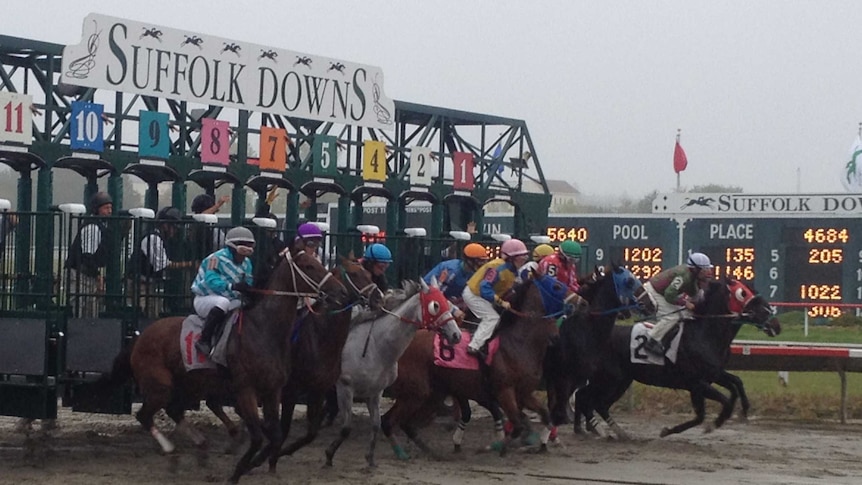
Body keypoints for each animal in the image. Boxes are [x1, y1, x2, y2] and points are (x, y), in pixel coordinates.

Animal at [107, 248, 348, 482]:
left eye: (319, 262)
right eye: (309, 266)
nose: (341, 291)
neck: (263, 329)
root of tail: (140, 337)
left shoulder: (273, 390)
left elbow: (275, 435)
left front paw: (252, 464)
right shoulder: (245, 390)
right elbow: (258, 437)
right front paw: (238, 471)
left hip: (189, 385)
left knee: (174, 410)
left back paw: (199, 447)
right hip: (160, 385)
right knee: (144, 416)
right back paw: (172, 451)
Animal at [324, 278, 462, 466]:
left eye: (447, 303)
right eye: (435, 306)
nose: (456, 335)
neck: (375, 347)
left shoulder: (375, 391)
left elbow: (376, 423)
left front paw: (370, 458)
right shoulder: (345, 387)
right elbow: (346, 427)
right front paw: (329, 454)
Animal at [384, 274, 588, 456]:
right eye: (556, 286)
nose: (583, 302)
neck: (518, 343)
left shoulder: (523, 393)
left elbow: (544, 415)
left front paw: (543, 443)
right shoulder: (504, 391)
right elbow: (517, 424)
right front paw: (495, 447)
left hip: (434, 392)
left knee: (405, 422)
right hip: (417, 391)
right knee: (392, 420)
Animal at [576, 276, 780, 438]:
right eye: (743, 294)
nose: (776, 324)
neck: (704, 334)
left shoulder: (713, 375)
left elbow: (735, 383)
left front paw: (744, 409)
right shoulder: (696, 383)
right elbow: (723, 402)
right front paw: (715, 423)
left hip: (622, 380)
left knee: (596, 402)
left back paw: (608, 431)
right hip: (609, 378)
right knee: (587, 398)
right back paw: (598, 430)